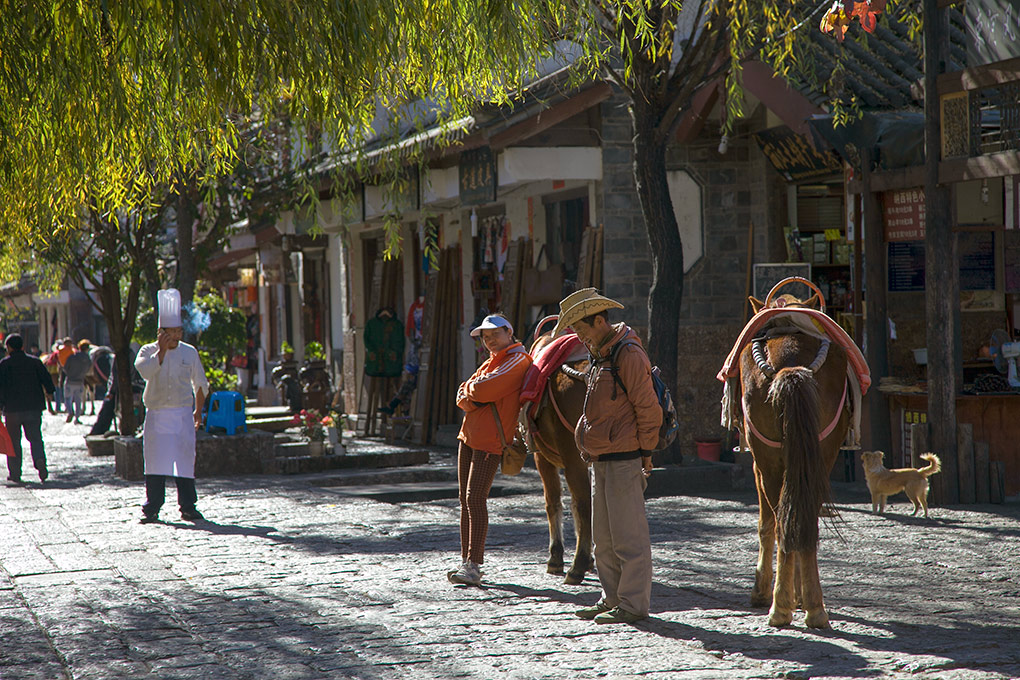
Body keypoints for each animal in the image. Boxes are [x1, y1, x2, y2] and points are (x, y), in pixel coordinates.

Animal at [530, 330, 595, 587]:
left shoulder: (542, 459)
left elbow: (553, 502)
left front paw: (556, 557)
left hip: (571, 459)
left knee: (585, 504)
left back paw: (576, 567)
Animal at [738, 285, 848, 628]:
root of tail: (788, 364)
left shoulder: (758, 466)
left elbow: (766, 525)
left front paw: (762, 591)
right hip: (822, 456)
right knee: (805, 524)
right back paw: (814, 607)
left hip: (769, 462)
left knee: (781, 525)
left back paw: (780, 607)